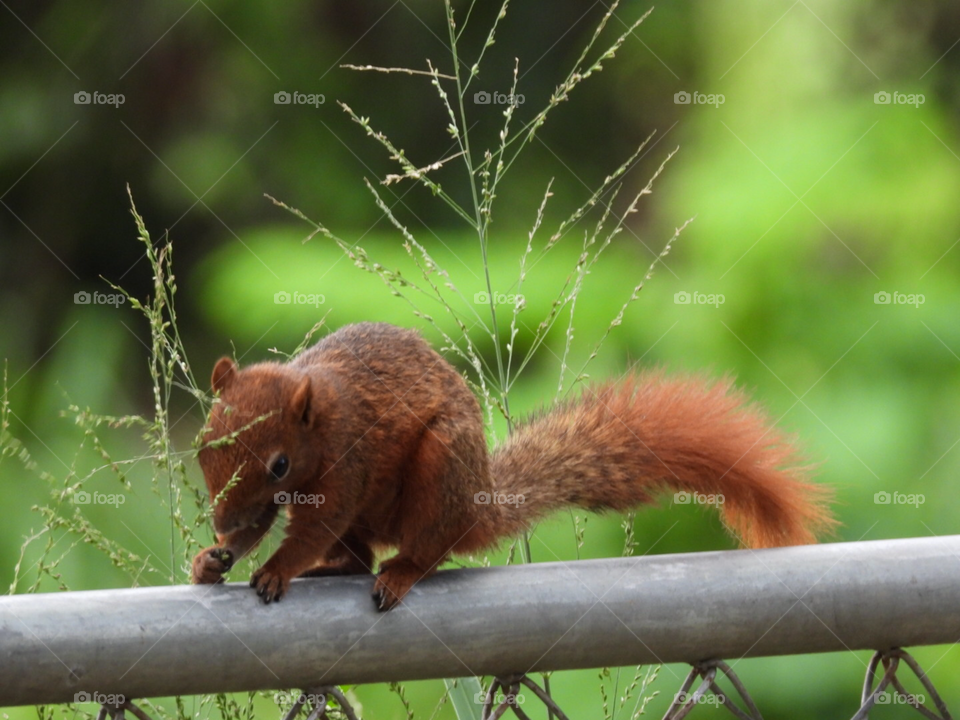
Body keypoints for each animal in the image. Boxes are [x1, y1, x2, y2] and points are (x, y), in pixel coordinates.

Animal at [191, 322, 834, 610]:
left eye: (279, 465)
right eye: (201, 444)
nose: (218, 524)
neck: (321, 417)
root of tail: (478, 507)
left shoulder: (348, 462)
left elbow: (314, 527)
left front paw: (277, 569)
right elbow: (260, 527)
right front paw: (214, 558)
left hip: (439, 471)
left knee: (424, 551)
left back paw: (400, 573)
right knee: (355, 557)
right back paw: (331, 570)